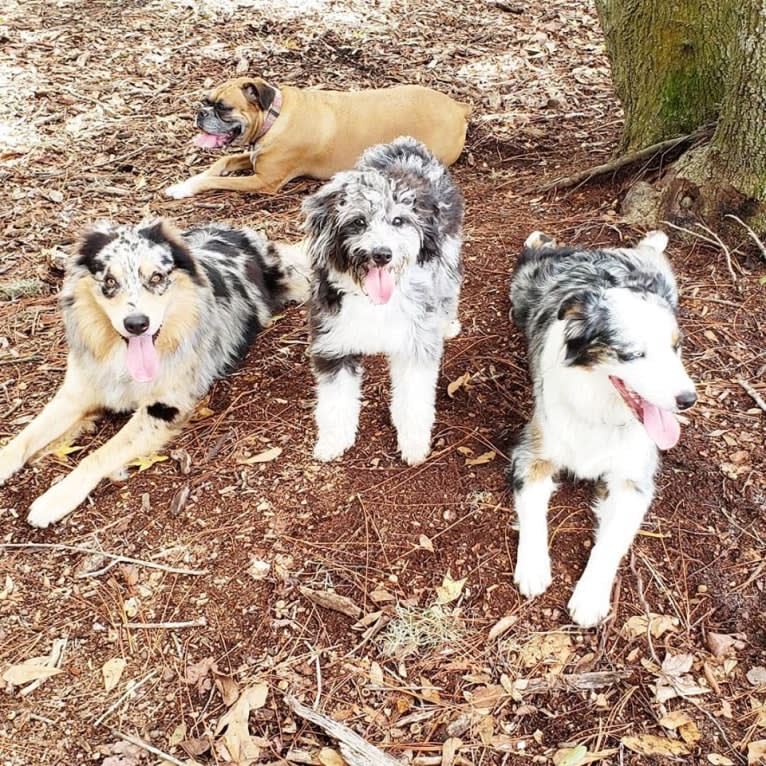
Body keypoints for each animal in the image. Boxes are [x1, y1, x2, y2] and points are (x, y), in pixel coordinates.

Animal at [165, 76, 472, 198]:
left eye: (223, 107)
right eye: (207, 101)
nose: (200, 113)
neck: (274, 117)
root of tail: (457, 106)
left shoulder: (263, 181)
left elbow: (215, 180)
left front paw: (185, 188)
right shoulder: (251, 157)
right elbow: (220, 164)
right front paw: (185, 182)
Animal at [304, 135, 464, 464]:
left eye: (398, 220)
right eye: (358, 222)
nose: (382, 254)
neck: (372, 301)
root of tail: (404, 144)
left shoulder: (416, 343)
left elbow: (414, 399)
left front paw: (413, 443)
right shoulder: (333, 344)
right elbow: (335, 401)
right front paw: (333, 441)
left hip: (447, 255)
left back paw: (447, 324)